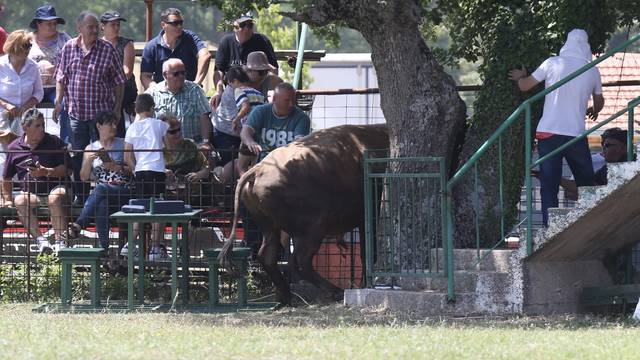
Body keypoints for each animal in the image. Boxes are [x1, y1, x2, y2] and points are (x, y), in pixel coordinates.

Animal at [220, 123, 388, 304]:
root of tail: (258, 169)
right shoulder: (369, 219)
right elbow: (369, 254)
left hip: (270, 227)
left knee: (268, 255)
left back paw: (286, 296)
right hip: (314, 229)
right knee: (301, 261)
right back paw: (335, 291)